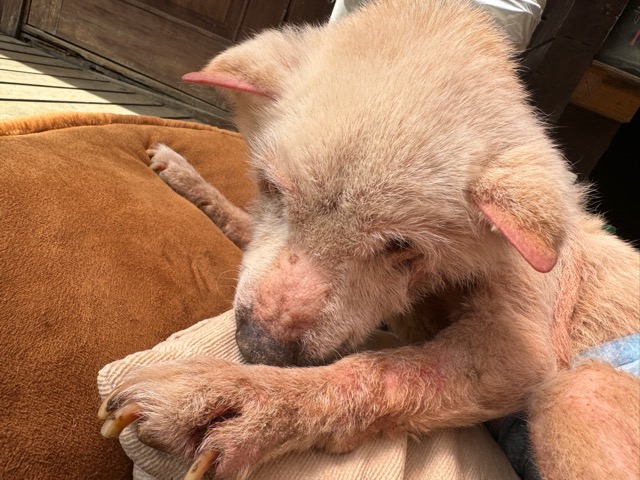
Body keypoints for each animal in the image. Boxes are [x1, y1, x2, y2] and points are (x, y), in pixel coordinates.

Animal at [98, 0, 640, 478]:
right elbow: (243, 222)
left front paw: (244, 400)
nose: (259, 349)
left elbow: (385, 370)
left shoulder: (522, 351)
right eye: (271, 188)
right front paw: (185, 177)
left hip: (577, 393)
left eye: (402, 247)